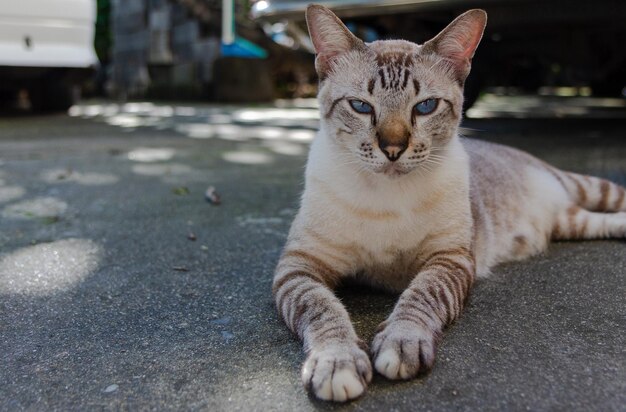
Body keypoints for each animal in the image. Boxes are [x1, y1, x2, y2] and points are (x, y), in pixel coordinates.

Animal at [272, 4, 624, 400]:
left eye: (425, 107)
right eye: (361, 106)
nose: (392, 149)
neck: (385, 196)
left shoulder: (449, 259)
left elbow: (421, 295)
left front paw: (402, 342)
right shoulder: (299, 266)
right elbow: (321, 308)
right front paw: (337, 361)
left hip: (587, 188)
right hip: (571, 222)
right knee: (599, 222)